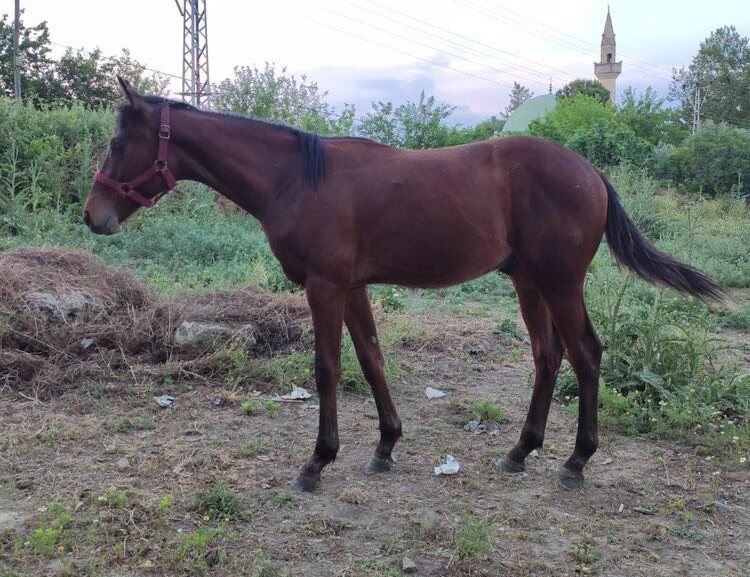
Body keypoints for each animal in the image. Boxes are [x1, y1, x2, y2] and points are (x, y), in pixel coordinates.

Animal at [82, 76, 724, 490]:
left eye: (116, 143)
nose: (93, 216)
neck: (298, 179)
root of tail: (590, 172)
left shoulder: (324, 286)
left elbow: (328, 368)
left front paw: (317, 462)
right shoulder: (353, 287)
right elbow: (371, 359)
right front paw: (385, 446)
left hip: (561, 283)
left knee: (586, 354)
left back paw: (576, 462)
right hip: (530, 282)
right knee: (549, 355)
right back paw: (521, 451)